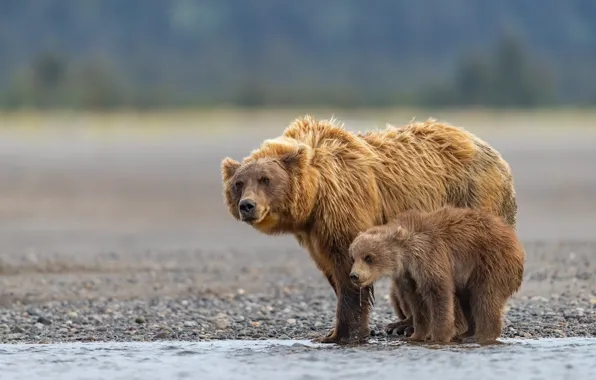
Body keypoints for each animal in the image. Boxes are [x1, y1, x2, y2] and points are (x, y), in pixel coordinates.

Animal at [220, 115, 516, 344]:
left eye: (265, 179)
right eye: (239, 183)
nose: (247, 205)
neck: (315, 195)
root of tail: (495, 154)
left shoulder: (344, 206)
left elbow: (348, 268)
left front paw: (341, 334)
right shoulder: (316, 232)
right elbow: (334, 271)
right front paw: (336, 331)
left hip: (472, 199)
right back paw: (403, 324)